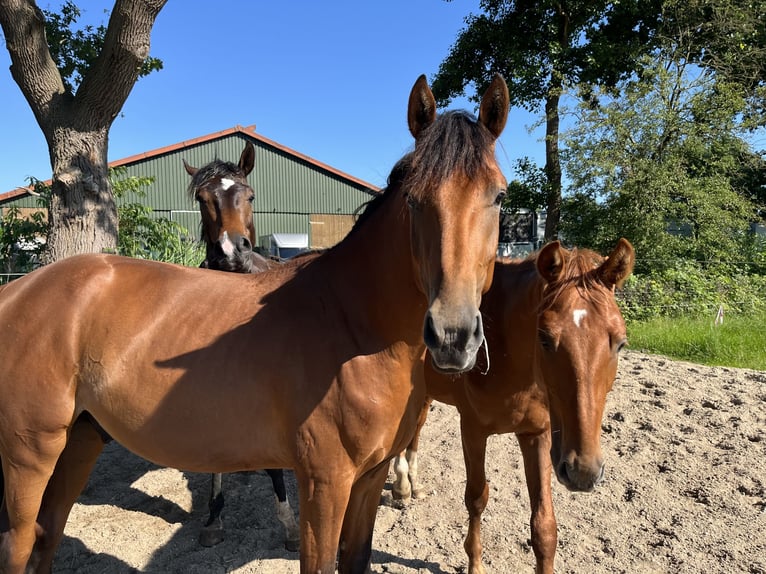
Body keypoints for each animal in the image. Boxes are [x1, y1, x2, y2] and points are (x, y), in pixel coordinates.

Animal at [392, 238, 640, 574]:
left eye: (620, 343)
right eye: (545, 338)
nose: (583, 472)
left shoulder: (537, 435)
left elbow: (544, 527)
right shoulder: (472, 431)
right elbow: (476, 497)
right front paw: (475, 564)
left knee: (414, 431)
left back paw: (411, 485)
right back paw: (401, 485)